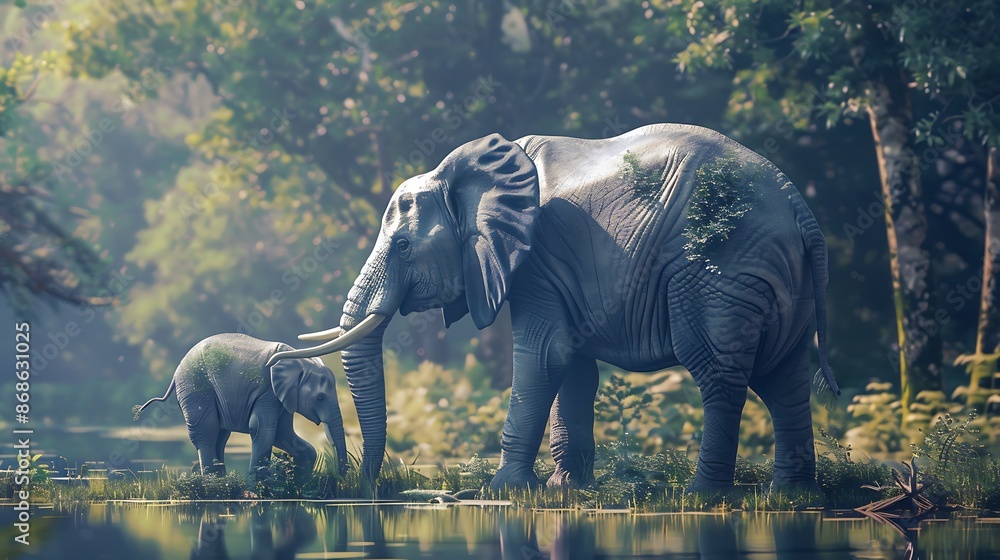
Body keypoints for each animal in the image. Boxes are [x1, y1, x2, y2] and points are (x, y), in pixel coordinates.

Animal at [134, 333, 349, 480]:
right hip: (196, 387)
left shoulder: (282, 396)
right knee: (206, 431)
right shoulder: (268, 391)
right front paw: (258, 485)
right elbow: (262, 428)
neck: (300, 360)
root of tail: (176, 372)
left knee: (220, 436)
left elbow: (282, 432)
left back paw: (221, 481)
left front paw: (300, 477)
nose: (341, 479)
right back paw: (211, 482)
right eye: (320, 397)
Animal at [266, 123, 841, 494]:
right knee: (785, 379)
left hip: (717, 271)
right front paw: (564, 489)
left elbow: (545, 355)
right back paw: (791, 497)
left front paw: (502, 491)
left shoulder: (538, 254)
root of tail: (800, 206)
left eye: (403, 247)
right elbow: (572, 364)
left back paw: (703, 497)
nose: (365, 484)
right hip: (770, 277)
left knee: (720, 375)